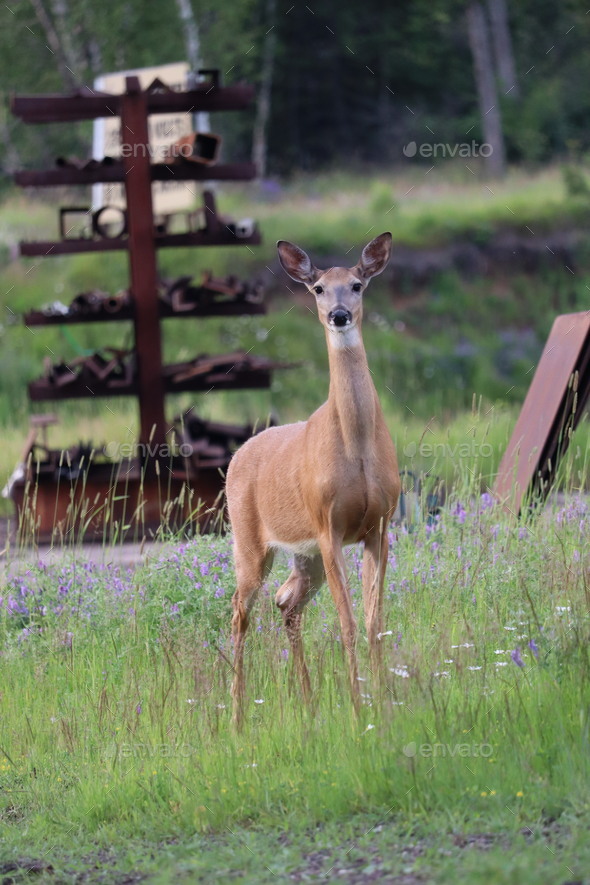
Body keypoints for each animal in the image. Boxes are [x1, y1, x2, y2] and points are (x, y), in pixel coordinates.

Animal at [227, 231, 402, 720]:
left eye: (357, 285)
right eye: (319, 288)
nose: (338, 315)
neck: (357, 447)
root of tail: (235, 456)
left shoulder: (379, 524)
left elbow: (374, 621)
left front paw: (383, 703)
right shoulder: (329, 525)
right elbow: (347, 623)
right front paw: (360, 708)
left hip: (304, 556)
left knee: (287, 602)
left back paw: (307, 704)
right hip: (250, 542)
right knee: (239, 611)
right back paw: (236, 715)